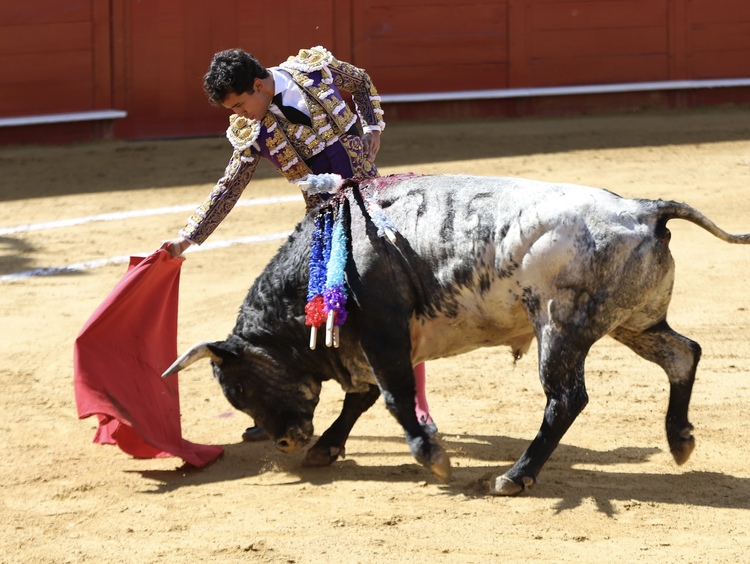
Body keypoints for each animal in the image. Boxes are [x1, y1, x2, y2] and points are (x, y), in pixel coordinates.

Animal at [164, 173, 750, 495]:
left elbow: (394, 397)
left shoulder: (382, 332)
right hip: (636, 322)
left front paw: (433, 457)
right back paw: (680, 440)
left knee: (566, 398)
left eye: (239, 387)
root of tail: (643, 208)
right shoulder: (369, 347)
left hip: (559, 326)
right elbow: (364, 396)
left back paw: (515, 477)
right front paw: (326, 448)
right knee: (683, 355)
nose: (285, 441)